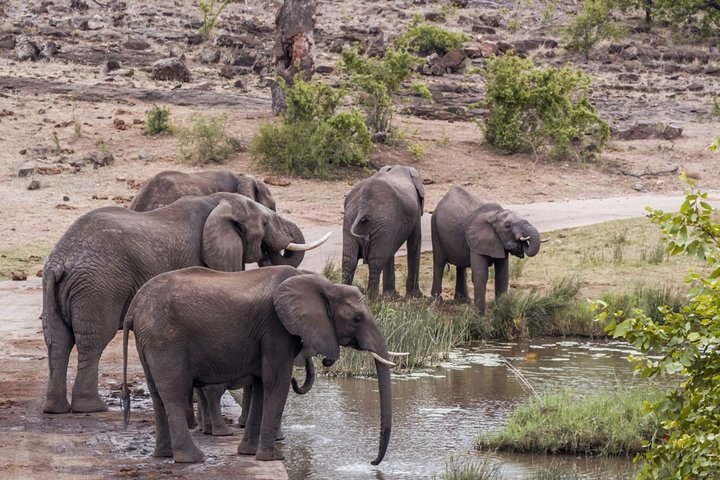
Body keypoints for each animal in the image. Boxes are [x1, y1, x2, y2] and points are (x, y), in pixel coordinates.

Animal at [42, 191, 330, 412]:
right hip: (98, 286)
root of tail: (60, 259)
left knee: (58, 340)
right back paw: (91, 408)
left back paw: (56, 409)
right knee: (93, 341)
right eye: (267, 222)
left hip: (58, 286)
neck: (218, 201)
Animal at [122, 266, 394, 464]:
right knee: (174, 392)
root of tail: (133, 308)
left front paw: (249, 453)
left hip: (150, 340)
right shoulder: (276, 328)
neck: (320, 283)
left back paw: (164, 455)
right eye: (357, 318)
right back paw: (192, 459)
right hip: (165, 339)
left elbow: (263, 383)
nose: (372, 463)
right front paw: (273, 457)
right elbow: (277, 380)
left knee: (157, 393)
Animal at [428, 187, 540, 316]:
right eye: (508, 226)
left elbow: (502, 275)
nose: (522, 242)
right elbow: (480, 275)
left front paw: (501, 311)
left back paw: (463, 301)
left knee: (461, 266)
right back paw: (437, 302)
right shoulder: (476, 241)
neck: (495, 215)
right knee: (439, 262)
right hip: (434, 227)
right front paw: (479, 317)